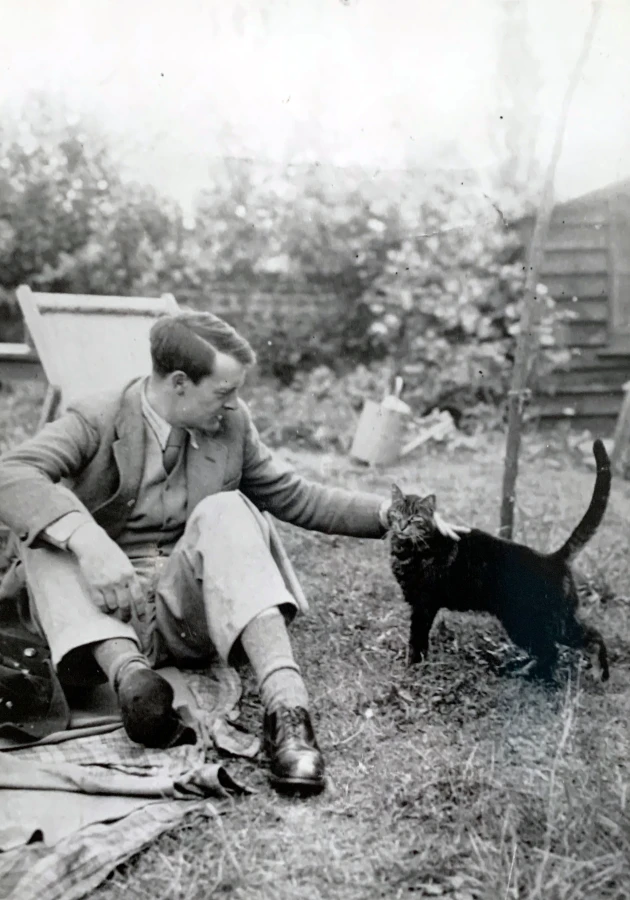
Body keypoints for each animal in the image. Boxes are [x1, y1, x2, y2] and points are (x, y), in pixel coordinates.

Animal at [388, 439, 611, 682]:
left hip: (528, 623)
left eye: (415, 518)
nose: (401, 526)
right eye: (396, 514)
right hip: (551, 621)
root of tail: (554, 558)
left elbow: (416, 640)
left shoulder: (423, 604)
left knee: (558, 649)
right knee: (580, 640)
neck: (408, 549)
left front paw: (412, 667)